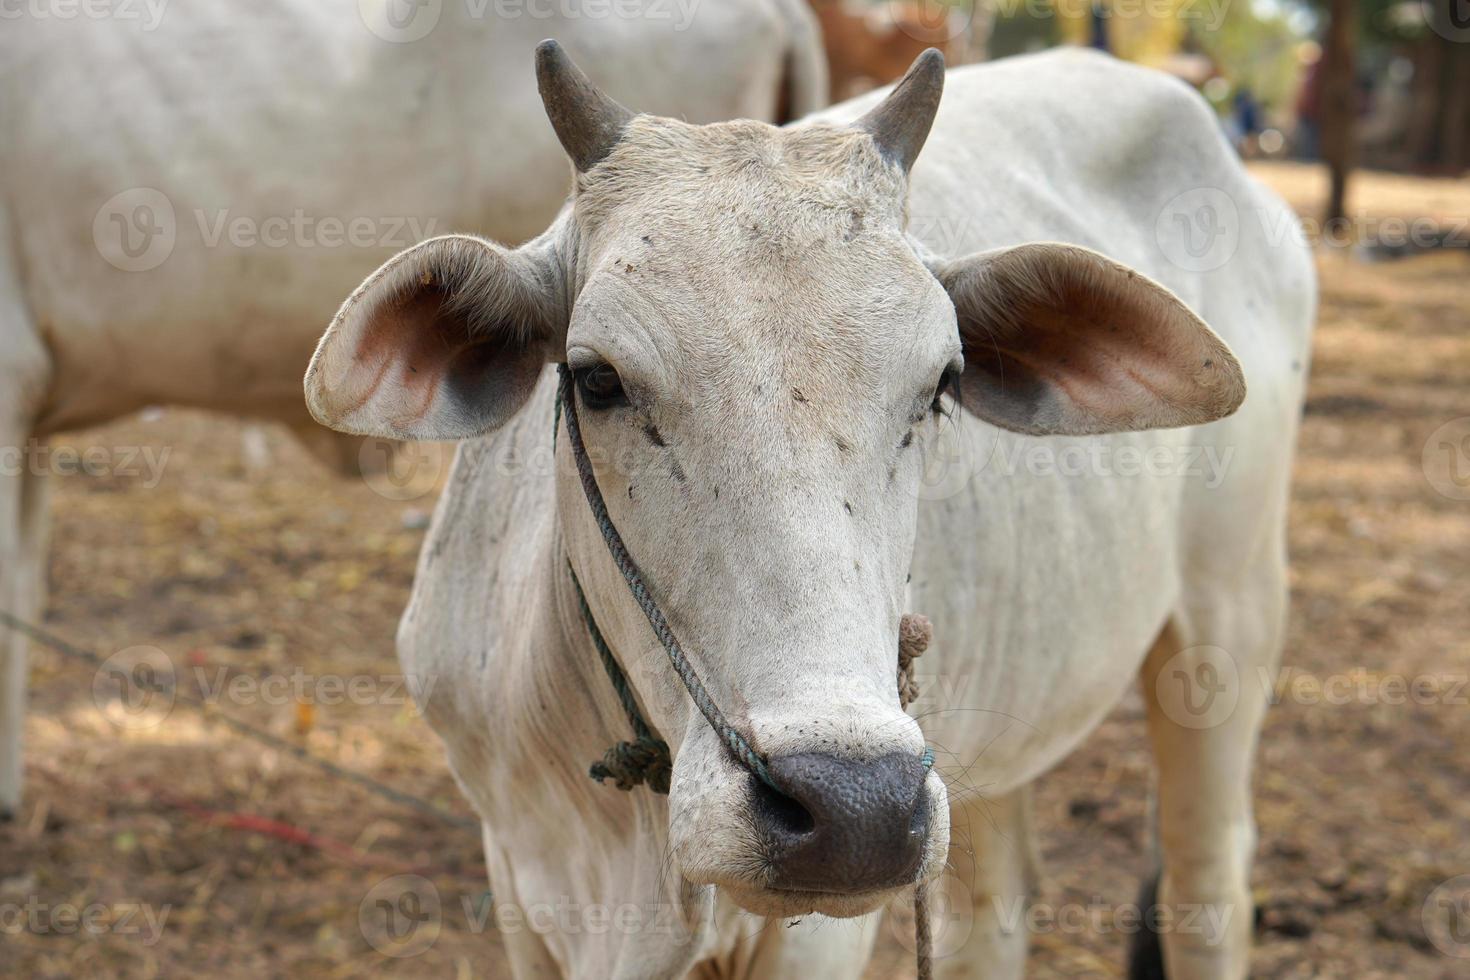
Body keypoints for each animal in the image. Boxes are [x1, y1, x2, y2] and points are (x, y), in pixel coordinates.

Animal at [304, 42, 1317, 975]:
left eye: (941, 387)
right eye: (596, 380)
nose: (857, 810)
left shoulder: (823, 931)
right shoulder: (517, 879)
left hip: (1228, 624)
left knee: (1207, 883)